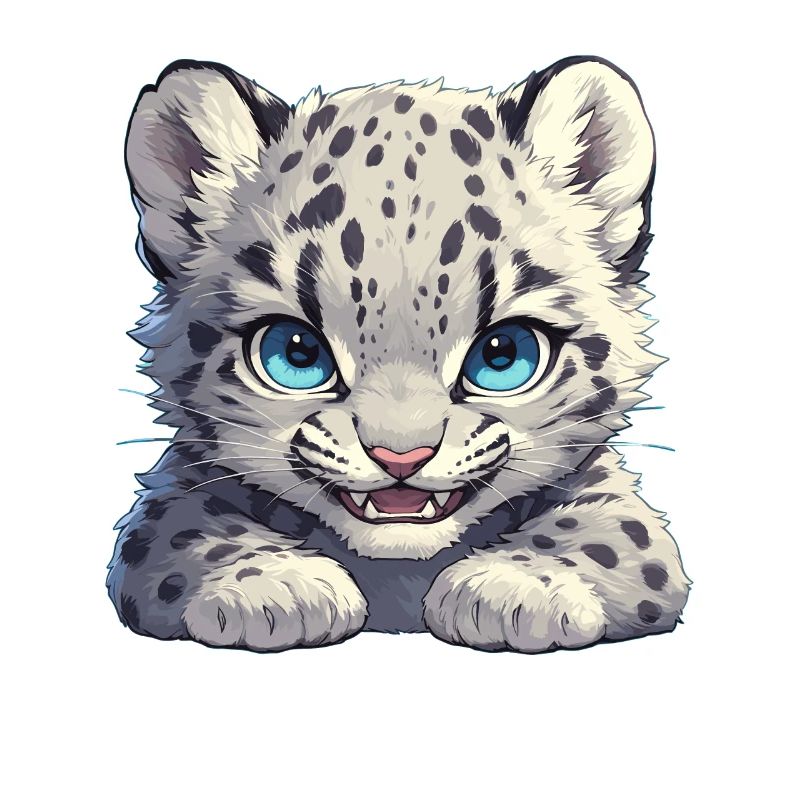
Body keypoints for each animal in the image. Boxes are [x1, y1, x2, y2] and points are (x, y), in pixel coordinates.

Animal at [107, 55, 690, 653]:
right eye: (295, 352)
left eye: (504, 354)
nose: (401, 457)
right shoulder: (171, 496)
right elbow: (189, 527)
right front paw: (273, 586)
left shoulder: (614, 500)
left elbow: (611, 532)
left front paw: (517, 586)